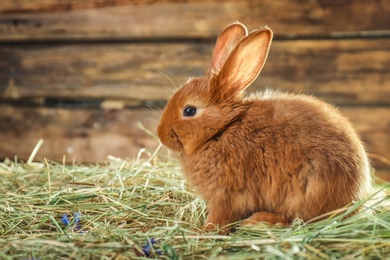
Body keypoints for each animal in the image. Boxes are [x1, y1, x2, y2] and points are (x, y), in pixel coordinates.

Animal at [157, 21, 374, 230]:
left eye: (189, 111)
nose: (160, 134)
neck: (222, 129)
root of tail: (357, 198)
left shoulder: (228, 194)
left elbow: (220, 217)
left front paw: (203, 232)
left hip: (309, 188)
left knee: (297, 219)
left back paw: (259, 221)